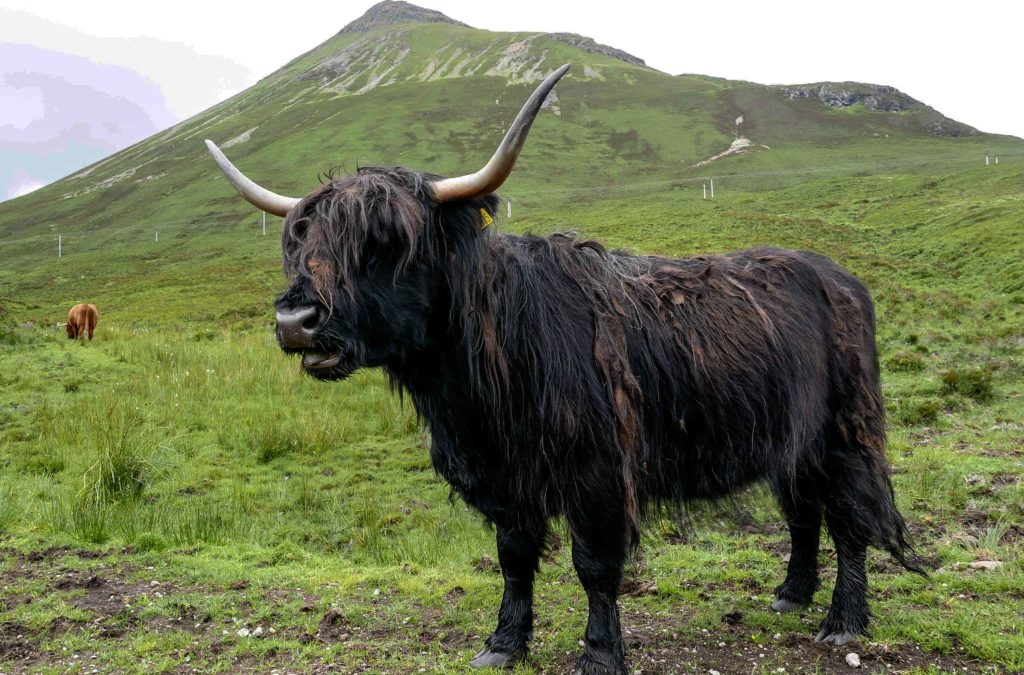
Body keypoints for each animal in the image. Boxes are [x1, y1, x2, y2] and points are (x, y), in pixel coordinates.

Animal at [206, 65, 920, 674]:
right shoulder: (503, 475)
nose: (296, 320)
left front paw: (600, 655)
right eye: (300, 242)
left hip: (842, 433)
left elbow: (594, 565)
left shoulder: (597, 472)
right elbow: (514, 559)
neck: (475, 379)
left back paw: (842, 621)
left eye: (387, 241)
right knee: (803, 511)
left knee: (849, 518)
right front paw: (502, 644)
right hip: (787, 439)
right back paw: (790, 594)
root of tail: (839, 276)